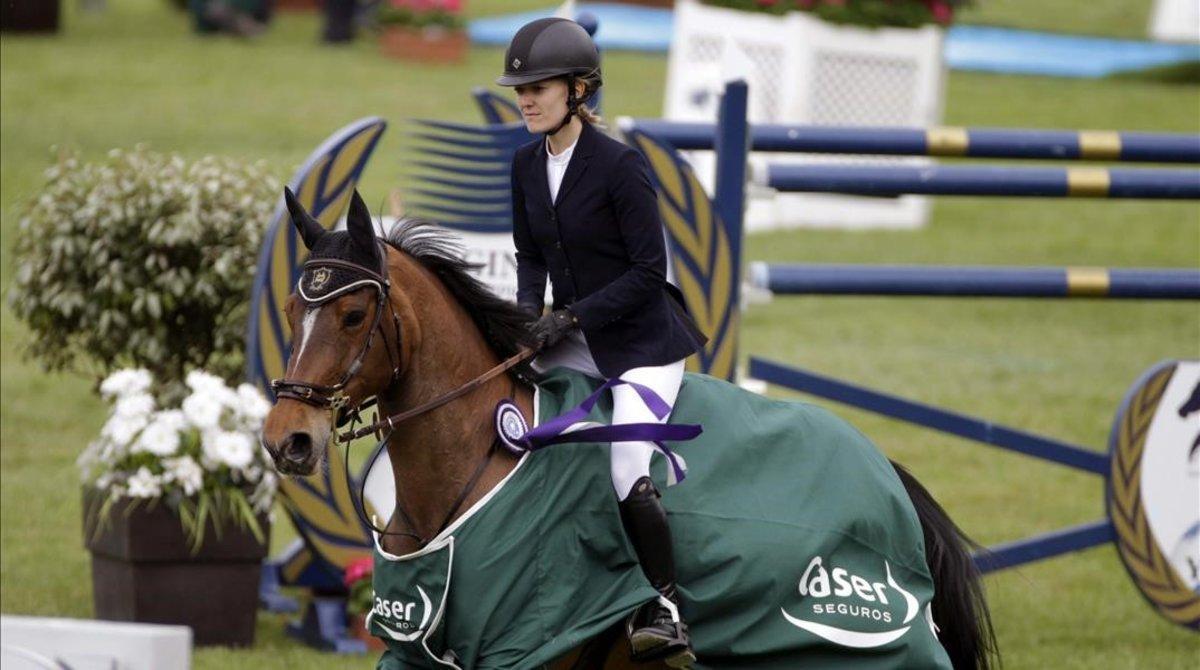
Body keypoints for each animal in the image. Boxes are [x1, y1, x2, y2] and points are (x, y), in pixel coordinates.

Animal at [265, 190, 1003, 670]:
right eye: (292, 311)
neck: (476, 462)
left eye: (354, 315)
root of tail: (889, 472)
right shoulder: (417, 657)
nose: (287, 439)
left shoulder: (523, 651)